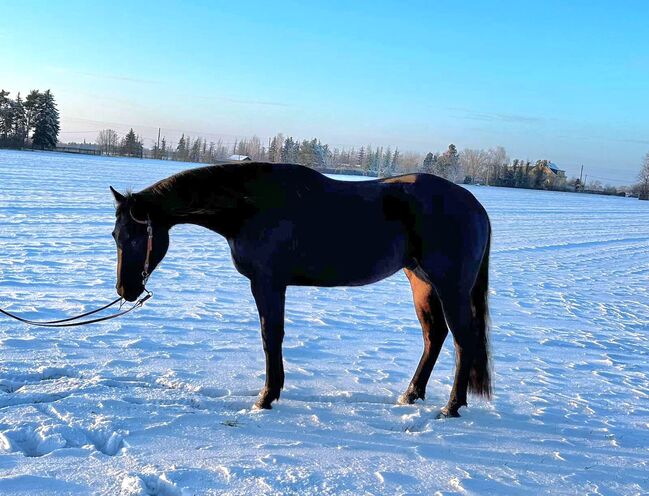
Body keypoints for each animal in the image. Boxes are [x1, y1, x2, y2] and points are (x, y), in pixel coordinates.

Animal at [109, 164, 488, 418]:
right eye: (115, 235)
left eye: (135, 236)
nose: (125, 290)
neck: (250, 206)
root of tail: (475, 205)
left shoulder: (267, 283)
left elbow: (270, 336)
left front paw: (266, 396)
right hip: (421, 283)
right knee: (434, 336)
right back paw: (411, 395)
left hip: (449, 288)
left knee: (463, 340)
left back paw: (451, 407)